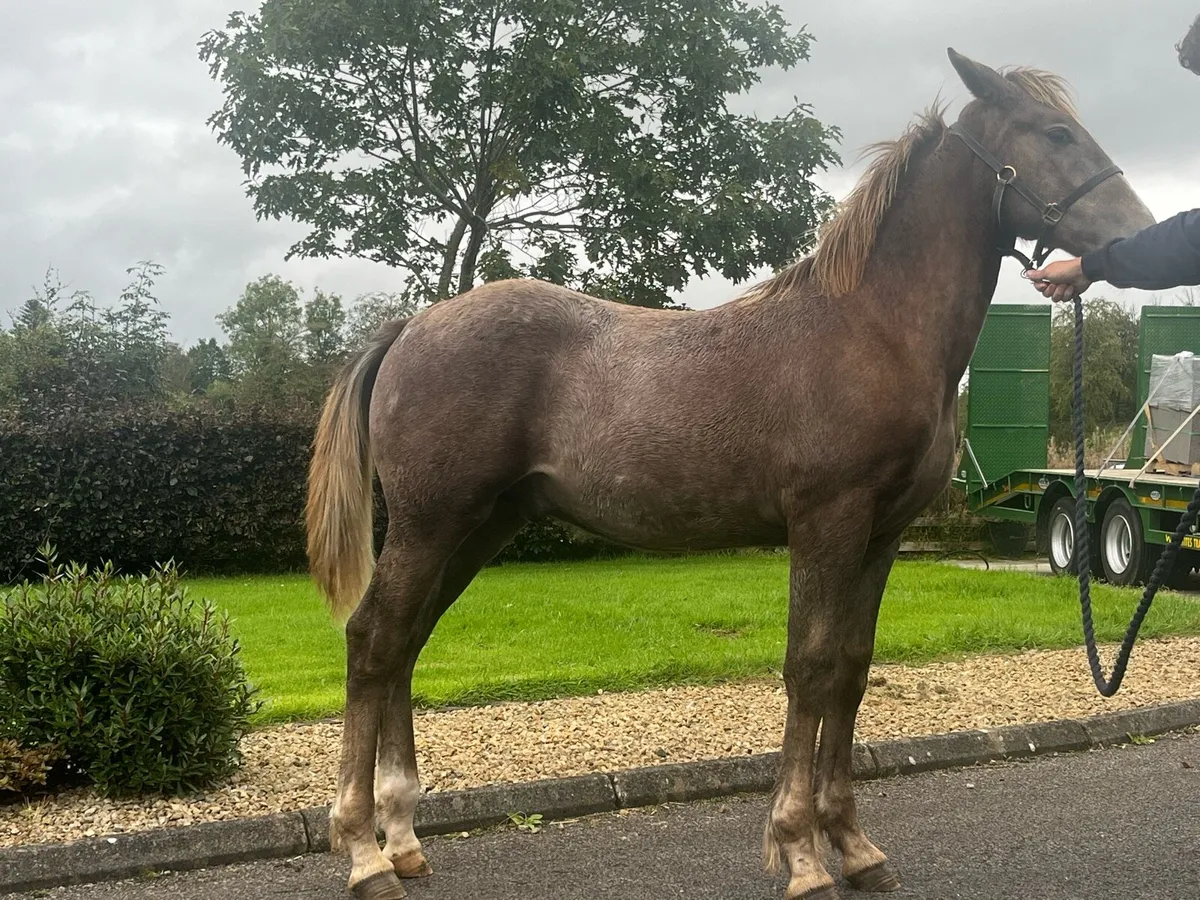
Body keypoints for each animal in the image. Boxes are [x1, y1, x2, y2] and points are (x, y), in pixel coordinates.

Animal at [304, 48, 1154, 900]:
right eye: (1055, 132)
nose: (1137, 233)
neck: (872, 328)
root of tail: (411, 326)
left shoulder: (881, 535)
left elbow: (851, 671)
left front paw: (855, 846)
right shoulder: (826, 521)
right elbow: (810, 669)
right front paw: (801, 853)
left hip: (480, 526)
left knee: (406, 643)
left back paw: (403, 839)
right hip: (432, 522)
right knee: (374, 640)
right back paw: (363, 853)